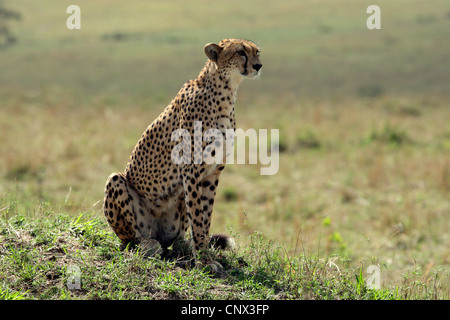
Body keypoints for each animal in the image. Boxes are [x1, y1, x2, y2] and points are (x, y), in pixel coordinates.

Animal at [103, 37, 262, 268]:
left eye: (257, 52)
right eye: (240, 52)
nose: (258, 65)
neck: (225, 93)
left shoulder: (212, 173)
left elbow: (205, 217)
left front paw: (204, 253)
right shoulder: (192, 171)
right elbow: (197, 217)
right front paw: (203, 260)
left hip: (178, 200)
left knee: (175, 238)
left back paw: (183, 245)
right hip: (117, 182)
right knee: (130, 238)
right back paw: (148, 244)